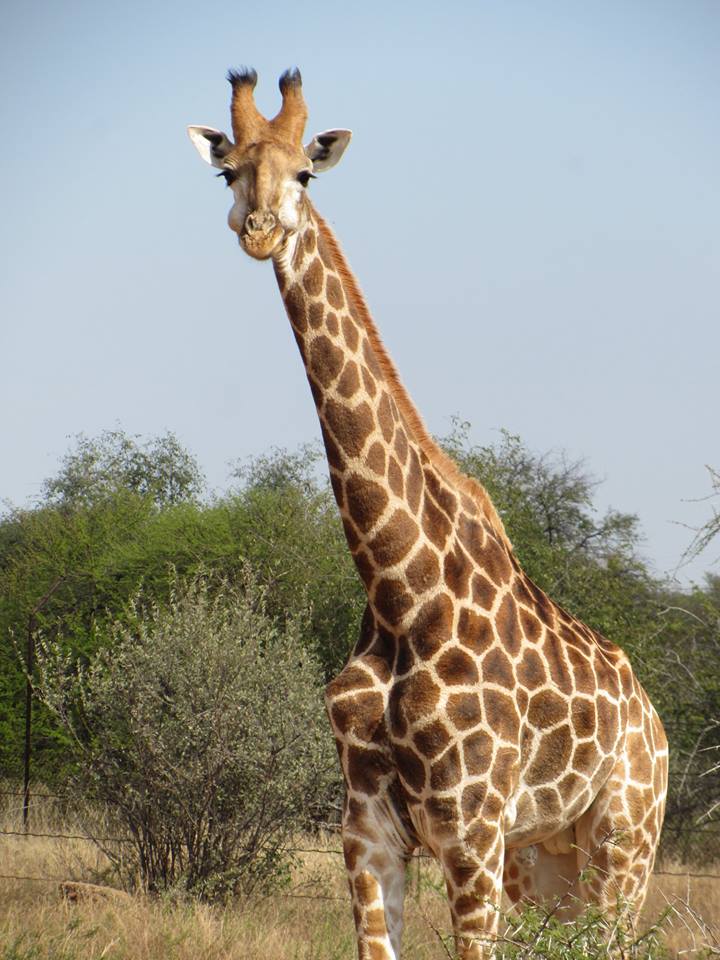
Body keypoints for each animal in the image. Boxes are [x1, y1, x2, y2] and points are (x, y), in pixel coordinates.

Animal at [188, 68, 668, 959]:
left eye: (304, 174)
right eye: (228, 171)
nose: (263, 231)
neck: (398, 589)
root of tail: (654, 722)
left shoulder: (470, 831)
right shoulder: (368, 829)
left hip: (625, 841)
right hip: (544, 859)